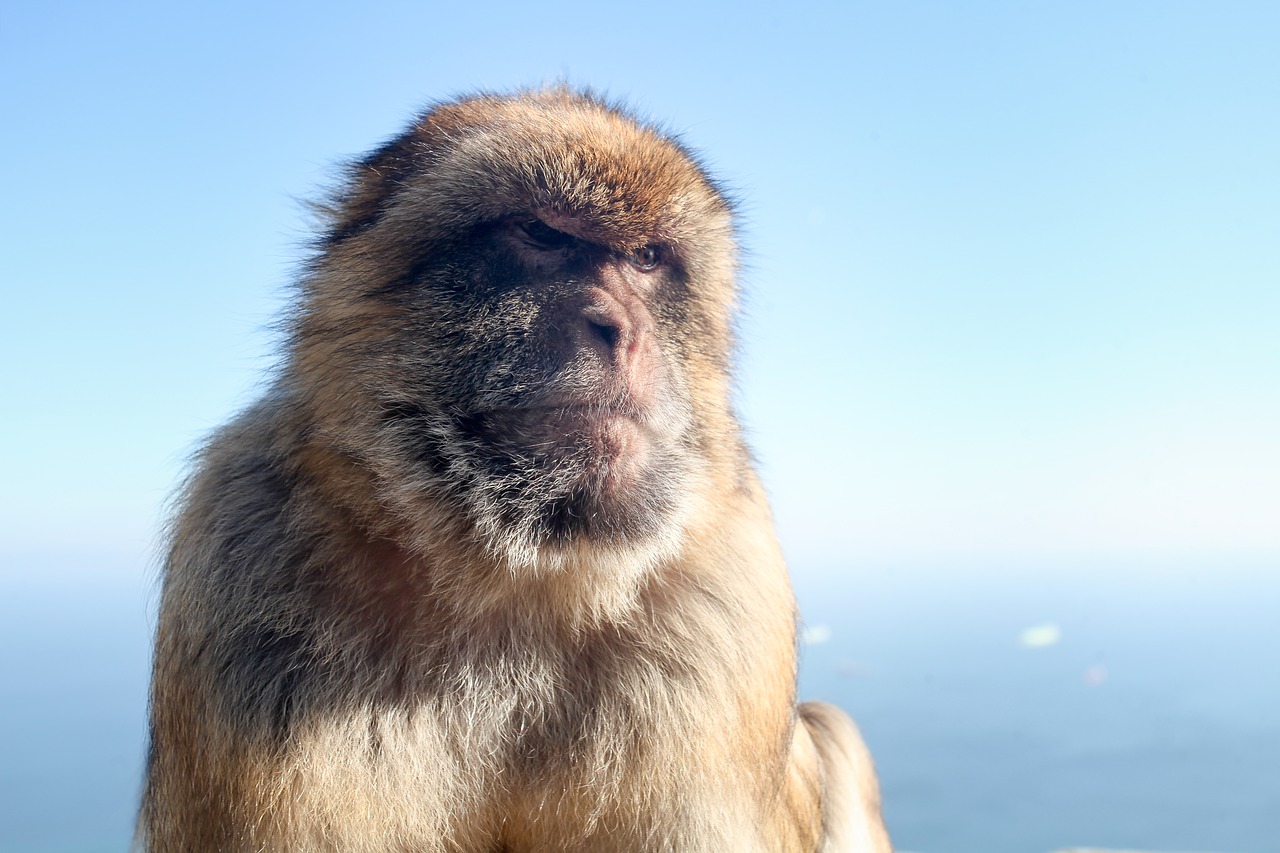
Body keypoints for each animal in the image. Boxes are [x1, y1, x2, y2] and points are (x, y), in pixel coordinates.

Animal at [135, 87, 885, 850]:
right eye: (541, 234)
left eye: (647, 258)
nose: (623, 329)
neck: (517, 574)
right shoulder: (243, 559)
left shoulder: (732, 600)